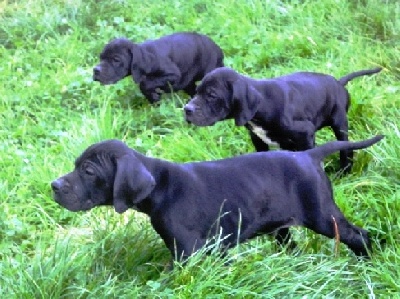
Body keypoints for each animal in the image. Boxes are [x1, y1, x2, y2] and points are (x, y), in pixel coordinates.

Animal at [51, 136, 382, 262]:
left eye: (88, 170)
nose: (54, 185)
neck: (160, 188)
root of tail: (309, 155)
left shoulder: (187, 251)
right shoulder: (211, 247)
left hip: (322, 215)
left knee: (358, 235)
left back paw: (366, 261)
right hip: (281, 226)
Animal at [93, 31, 225, 103]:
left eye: (116, 60)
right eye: (101, 57)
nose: (95, 70)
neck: (147, 58)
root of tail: (218, 50)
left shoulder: (173, 75)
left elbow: (145, 83)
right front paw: (153, 97)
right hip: (189, 82)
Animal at [184, 66, 382, 173]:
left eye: (212, 95)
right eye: (196, 92)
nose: (186, 109)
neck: (263, 103)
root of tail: (339, 83)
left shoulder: (305, 133)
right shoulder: (258, 139)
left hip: (340, 123)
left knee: (345, 149)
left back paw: (344, 171)